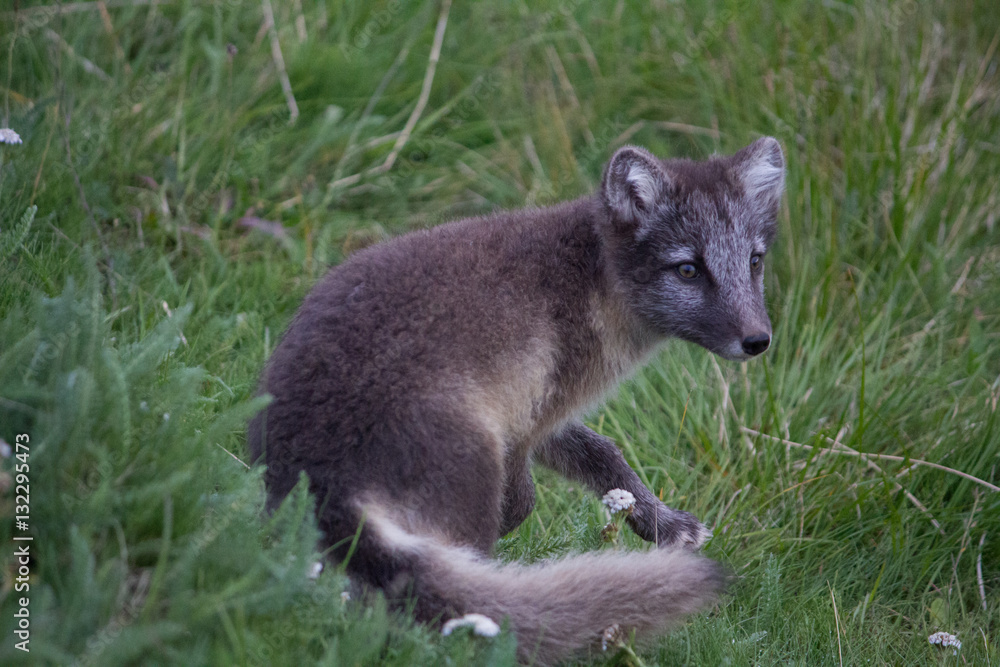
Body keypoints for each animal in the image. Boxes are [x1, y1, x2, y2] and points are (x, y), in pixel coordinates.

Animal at [248, 136, 785, 664]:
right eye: (688, 269)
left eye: (755, 261)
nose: (758, 341)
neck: (592, 276)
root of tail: (321, 483)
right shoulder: (531, 413)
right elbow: (528, 497)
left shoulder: (545, 416)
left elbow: (604, 456)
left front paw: (664, 525)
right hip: (472, 454)